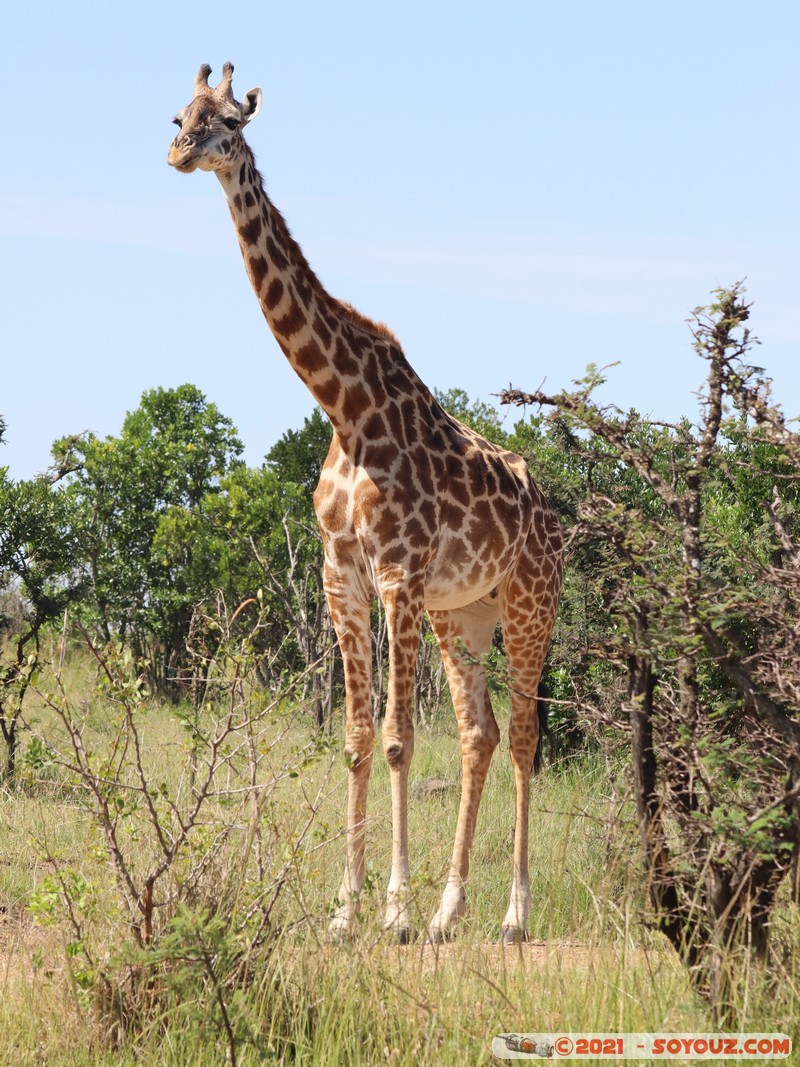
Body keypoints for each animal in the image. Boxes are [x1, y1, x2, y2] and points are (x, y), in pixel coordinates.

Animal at [167, 64, 563, 943]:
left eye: (231, 124)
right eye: (178, 115)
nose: (180, 153)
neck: (342, 407)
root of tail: (556, 516)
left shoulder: (398, 574)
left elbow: (397, 739)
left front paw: (393, 909)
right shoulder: (339, 571)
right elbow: (353, 736)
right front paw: (347, 910)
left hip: (530, 602)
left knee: (524, 735)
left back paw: (513, 914)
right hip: (465, 613)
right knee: (481, 732)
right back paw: (453, 910)